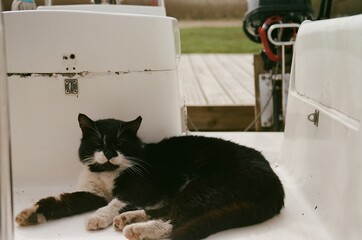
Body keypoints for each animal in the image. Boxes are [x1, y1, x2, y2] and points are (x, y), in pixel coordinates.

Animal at [15, 113, 284, 239]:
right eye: (99, 143)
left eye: (120, 143)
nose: (110, 154)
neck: (108, 173)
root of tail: (276, 184)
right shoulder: (91, 192)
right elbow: (61, 200)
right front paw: (29, 214)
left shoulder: (142, 187)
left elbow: (116, 201)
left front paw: (98, 217)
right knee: (168, 210)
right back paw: (129, 218)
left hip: (206, 186)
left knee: (176, 216)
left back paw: (136, 229)